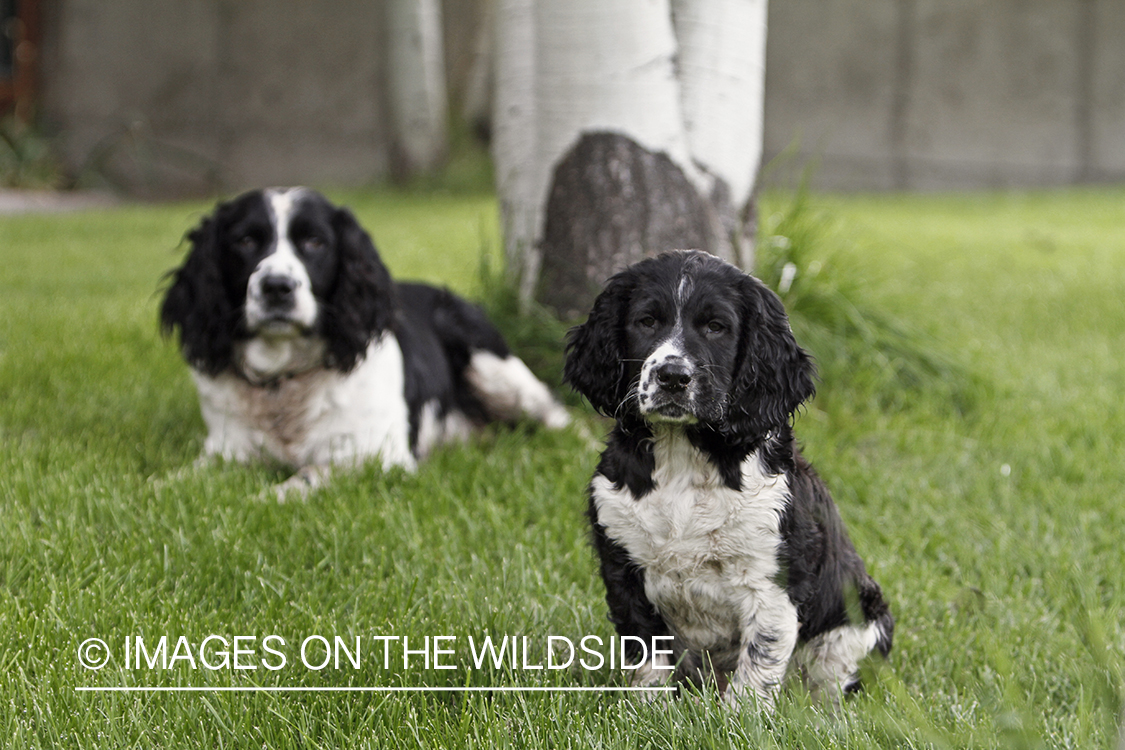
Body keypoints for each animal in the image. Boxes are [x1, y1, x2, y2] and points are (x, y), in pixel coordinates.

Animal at [159, 186, 571, 499]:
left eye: (315, 241)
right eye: (245, 241)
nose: (277, 287)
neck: (285, 378)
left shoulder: (379, 456)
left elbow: (308, 475)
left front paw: (262, 498)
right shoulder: (225, 449)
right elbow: (174, 479)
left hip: (495, 369)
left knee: (557, 416)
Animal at [567, 251, 891, 710]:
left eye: (716, 327)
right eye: (646, 321)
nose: (672, 376)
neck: (685, 459)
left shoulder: (771, 580)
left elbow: (758, 662)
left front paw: (742, 718)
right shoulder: (623, 563)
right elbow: (646, 655)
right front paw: (647, 712)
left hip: (856, 623)